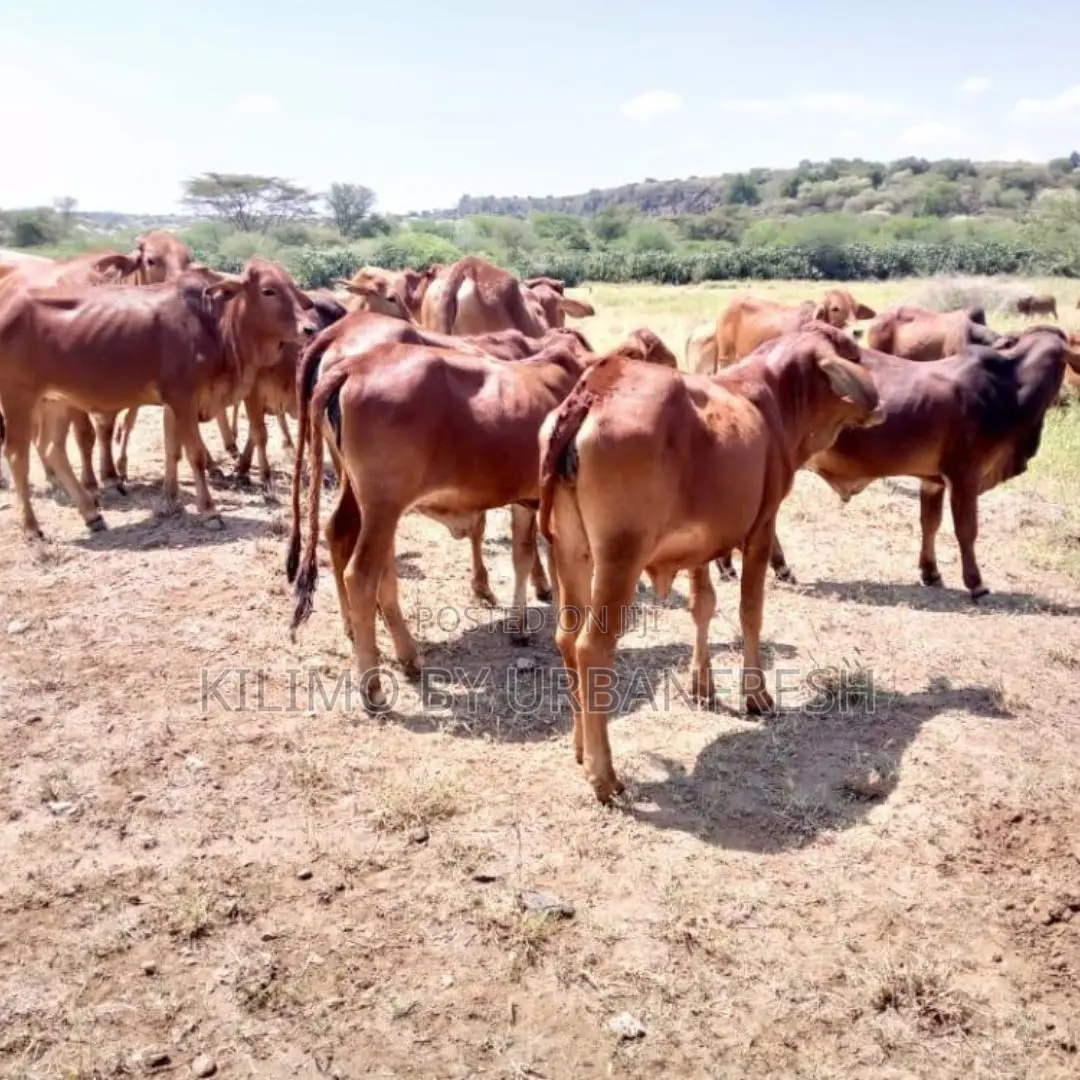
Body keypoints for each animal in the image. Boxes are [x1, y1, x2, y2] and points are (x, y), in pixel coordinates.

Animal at [0, 257, 318, 539]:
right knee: (18, 455)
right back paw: (32, 528)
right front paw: (209, 510)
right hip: (18, 400)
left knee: (52, 449)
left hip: (57, 401)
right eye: (268, 290)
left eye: (292, 285)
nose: (310, 329)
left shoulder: (175, 404)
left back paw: (92, 515)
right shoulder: (182, 398)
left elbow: (173, 451)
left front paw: (172, 499)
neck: (212, 324)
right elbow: (195, 454)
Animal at [535, 323, 883, 803]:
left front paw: (703, 685)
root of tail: (597, 387)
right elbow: (751, 612)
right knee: (592, 648)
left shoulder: (698, 545)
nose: (879, 404)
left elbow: (702, 605)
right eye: (851, 354)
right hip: (619, 557)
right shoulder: (762, 526)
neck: (772, 399)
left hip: (571, 551)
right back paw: (604, 774)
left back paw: (580, 748)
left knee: (567, 638)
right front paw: (756, 695)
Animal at [800, 327, 1080, 600]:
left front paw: (931, 573)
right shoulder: (965, 475)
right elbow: (966, 530)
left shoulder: (933, 481)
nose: (1067, 399)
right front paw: (975, 583)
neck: (1008, 388)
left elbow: (930, 523)